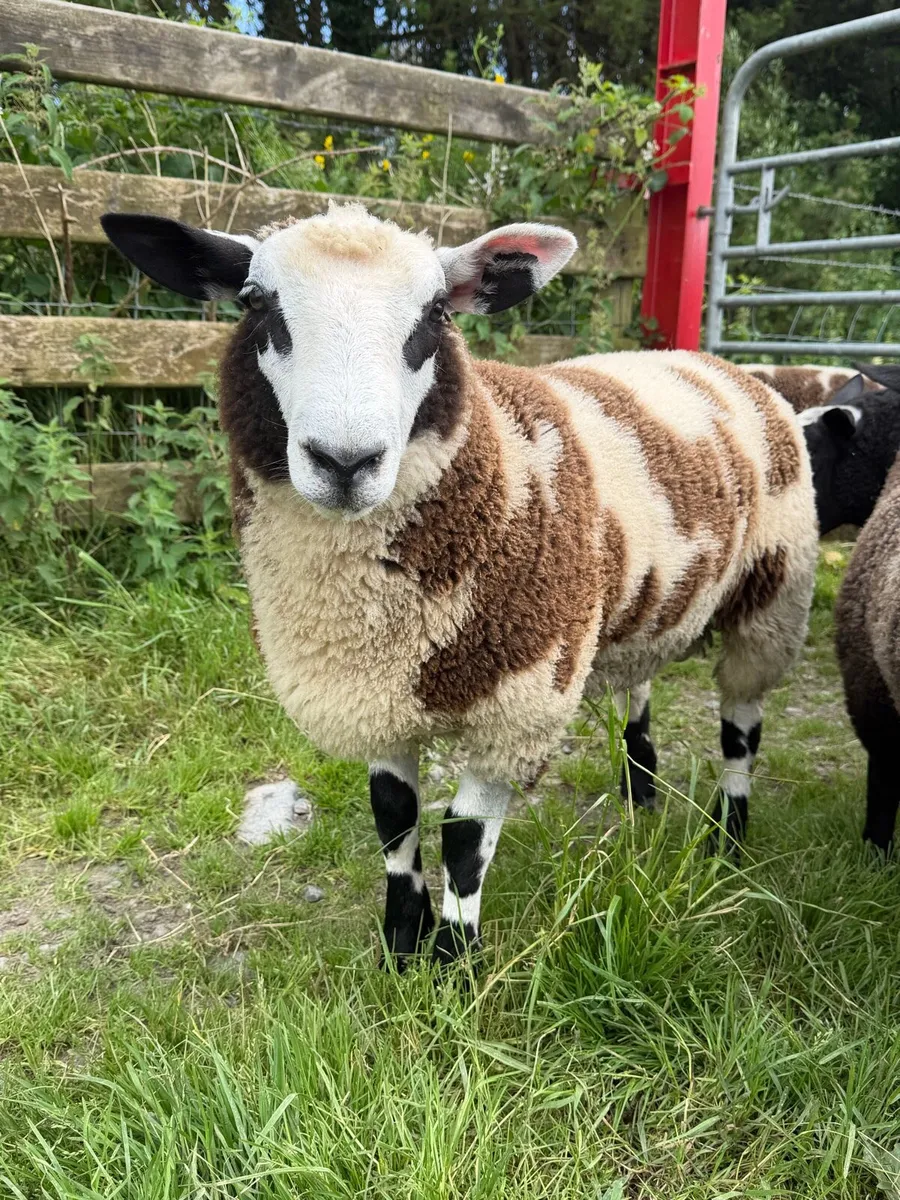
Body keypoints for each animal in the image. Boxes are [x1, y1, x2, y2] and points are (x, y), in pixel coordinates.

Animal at [101, 202, 819, 966]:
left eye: (437, 312)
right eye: (256, 303)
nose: (345, 462)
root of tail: (706, 359)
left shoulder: (522, 703)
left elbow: (465, 840)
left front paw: (455, 965)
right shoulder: (375, 689)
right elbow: (394, 819)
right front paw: (399, 943)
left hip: (772, 600)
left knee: (741, 727)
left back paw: (728, 840)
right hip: (643, 607)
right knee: (641, 679)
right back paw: (641, 787)